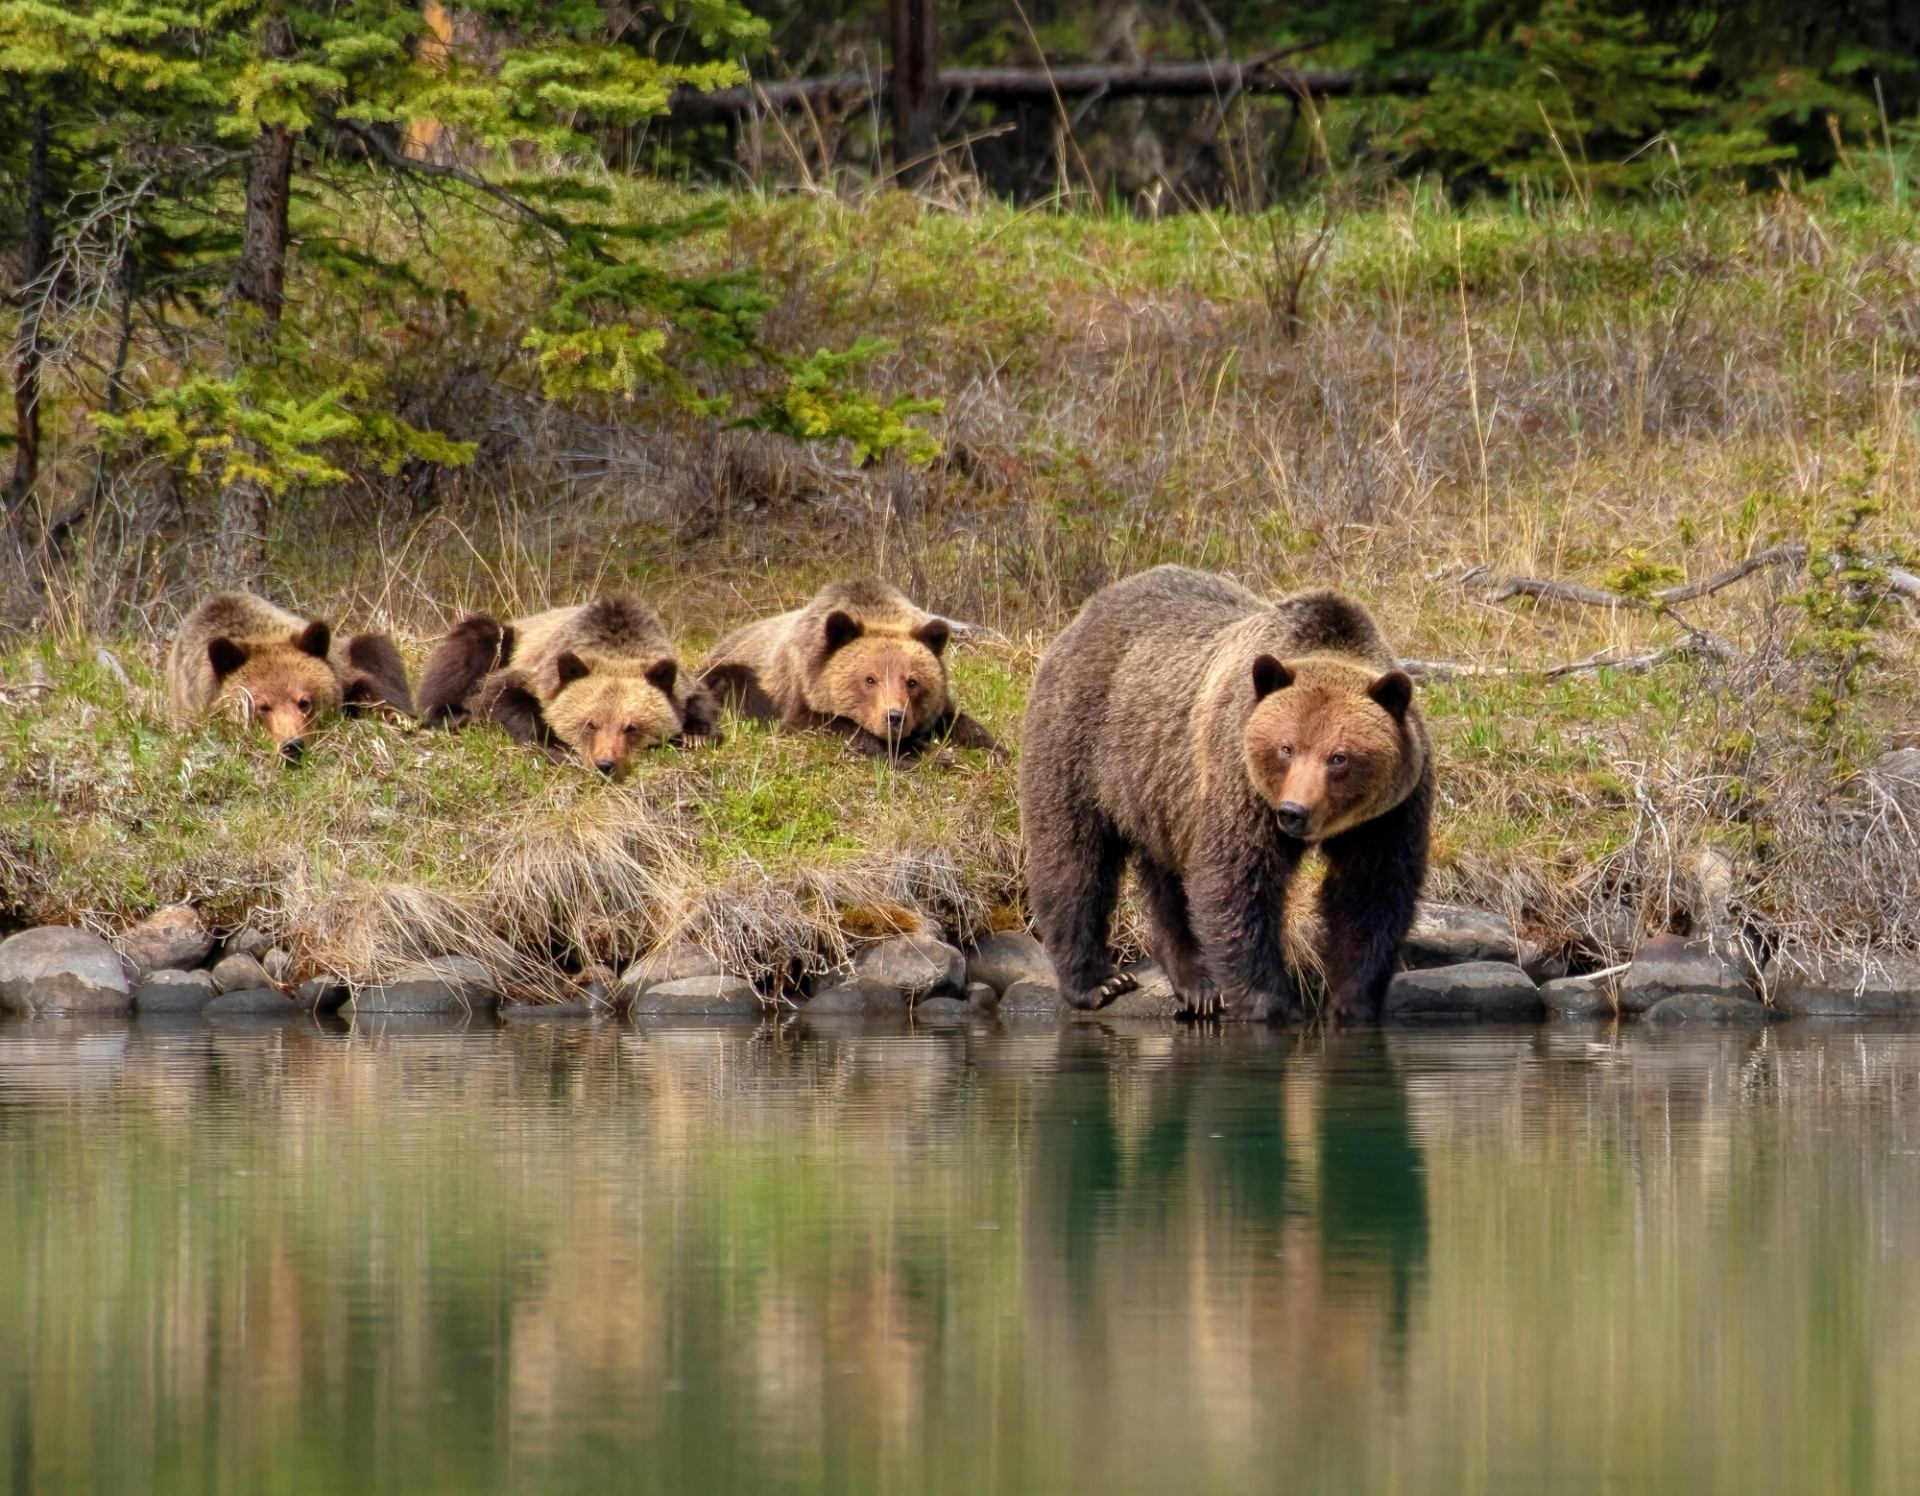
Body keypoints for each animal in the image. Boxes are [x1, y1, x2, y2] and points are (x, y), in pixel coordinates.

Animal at [414, 594, 720, 778]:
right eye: (590, 724)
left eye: (631, 727)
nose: (605, 765)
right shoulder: (540, 671)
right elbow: (499, 694)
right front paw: (557, 747)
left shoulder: (677, 678)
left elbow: (700, 699)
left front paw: (696, 734)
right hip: (509, 638)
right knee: (475, 640)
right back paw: (452, 715)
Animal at [697, 578, 1000, 761]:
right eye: (870, 679)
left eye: (913, 681)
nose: (895, 717)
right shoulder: (802, 690)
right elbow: (830, 724)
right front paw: (925, 753)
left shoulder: (936, 707)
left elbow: (958, 721)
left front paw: (993, 749)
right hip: (730, 672)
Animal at [1018, 565, 1430, 1024]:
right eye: (1286, 748)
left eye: (1339, 757)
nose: (1294, 812)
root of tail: (1086, 613)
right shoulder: (1240, 778)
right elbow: (1235, 880)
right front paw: (1271, 1003)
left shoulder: (1388, 814)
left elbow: (1371, 893)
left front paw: (1351, 1004)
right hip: (1080, 741)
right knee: (1074, 858)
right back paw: (1098, 981)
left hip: (1161, 791)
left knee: (1168, 882)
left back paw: (1196, 984)